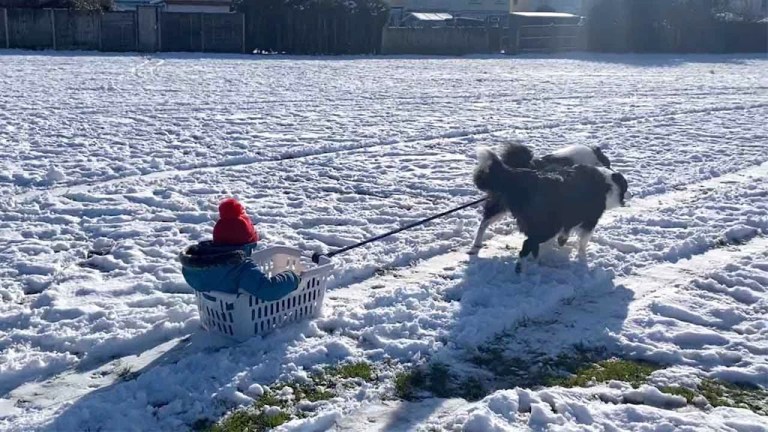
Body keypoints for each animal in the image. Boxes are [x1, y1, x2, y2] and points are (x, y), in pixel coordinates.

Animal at [472, 145, 628, 274]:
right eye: (608, 163)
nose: (613, 170)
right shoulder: (588, 219)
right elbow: (581, 241)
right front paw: (581, 258)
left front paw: (561, 242)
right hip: (543, 225)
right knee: (526, 242)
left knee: (485, 222)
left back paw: (476, 246)